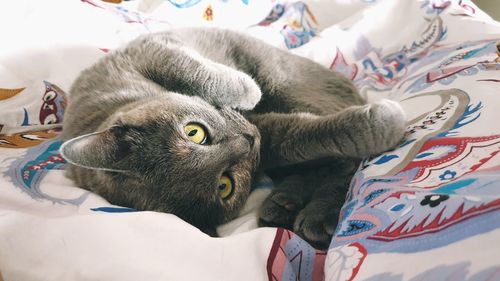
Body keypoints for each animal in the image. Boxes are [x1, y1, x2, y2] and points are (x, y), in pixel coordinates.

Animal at [61, 27, 406, 247]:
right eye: (225, 185)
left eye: (194, 132)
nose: (247, 140)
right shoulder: (265, 139)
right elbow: (295, 138)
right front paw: (382, 124)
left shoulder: (150, 50)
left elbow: (192, 70)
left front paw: (246, 88)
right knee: (332, 165)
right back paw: (291, 208)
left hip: (288, 83)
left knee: (342, 162)